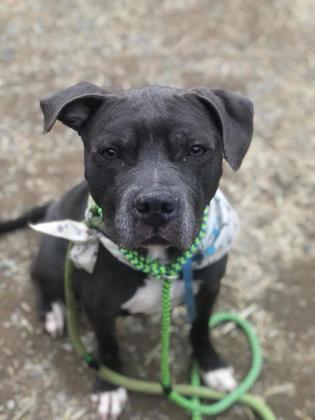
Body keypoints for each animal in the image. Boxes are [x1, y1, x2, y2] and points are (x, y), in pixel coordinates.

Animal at [0, 83, 252, 420]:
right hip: (53, 257)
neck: (159, 258)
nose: (156, 204)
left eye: (196, 150)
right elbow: (108, 347)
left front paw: (212, 367)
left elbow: (200, 329)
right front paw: (110, 387)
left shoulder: (209, 288)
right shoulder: (99, 309)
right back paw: (53, 312)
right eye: (110, 152)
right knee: (40, 279)